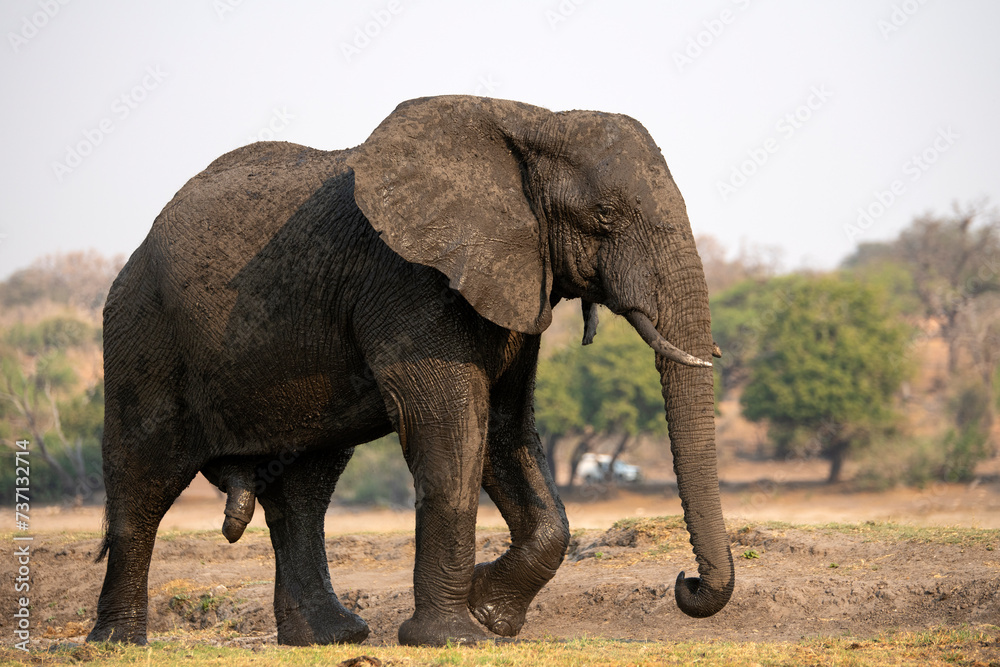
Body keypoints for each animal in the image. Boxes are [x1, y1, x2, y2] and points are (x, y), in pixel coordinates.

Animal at [87, 95, 734, 647]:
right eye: (603, 216)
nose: (686, 583)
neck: (532, 121)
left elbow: (505, 428)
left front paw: (490, 612)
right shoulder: (408, 279)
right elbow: (449, 429)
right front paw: (457, 636)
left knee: (304, 492)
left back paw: (329, 638)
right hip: (141, 332)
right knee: (142, 478)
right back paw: (118, 643)